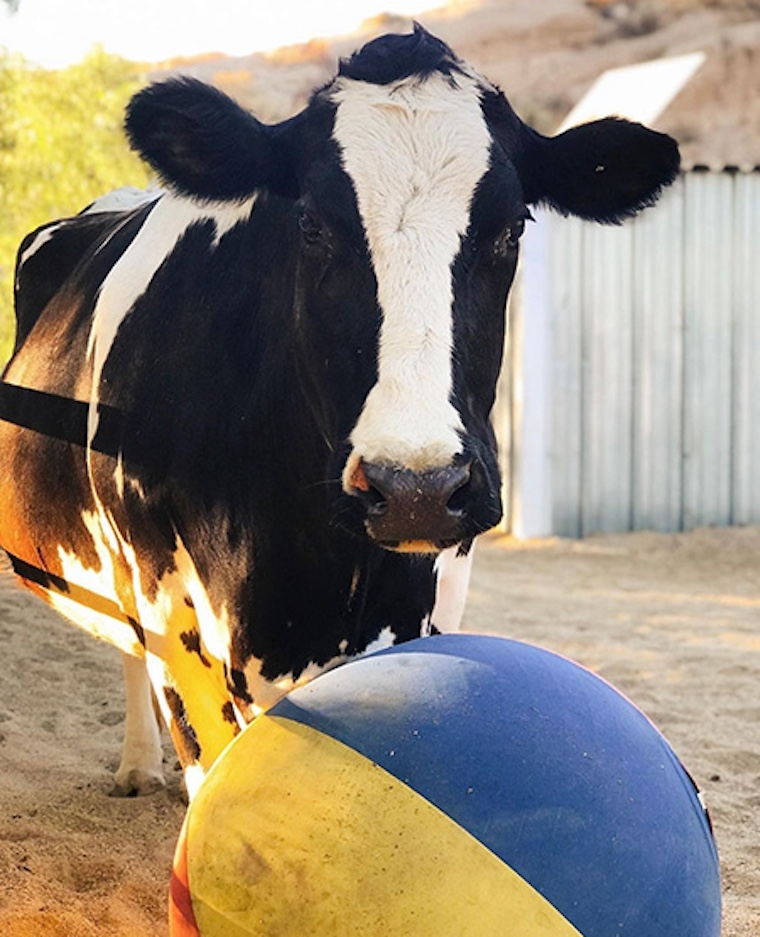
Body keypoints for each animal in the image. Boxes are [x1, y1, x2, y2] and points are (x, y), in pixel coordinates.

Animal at [0, 25, 679, 798]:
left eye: (512, 228)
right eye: (311, 223)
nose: (415, 488)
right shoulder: (171, 612)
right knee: (127, 648)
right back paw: (139, 764)